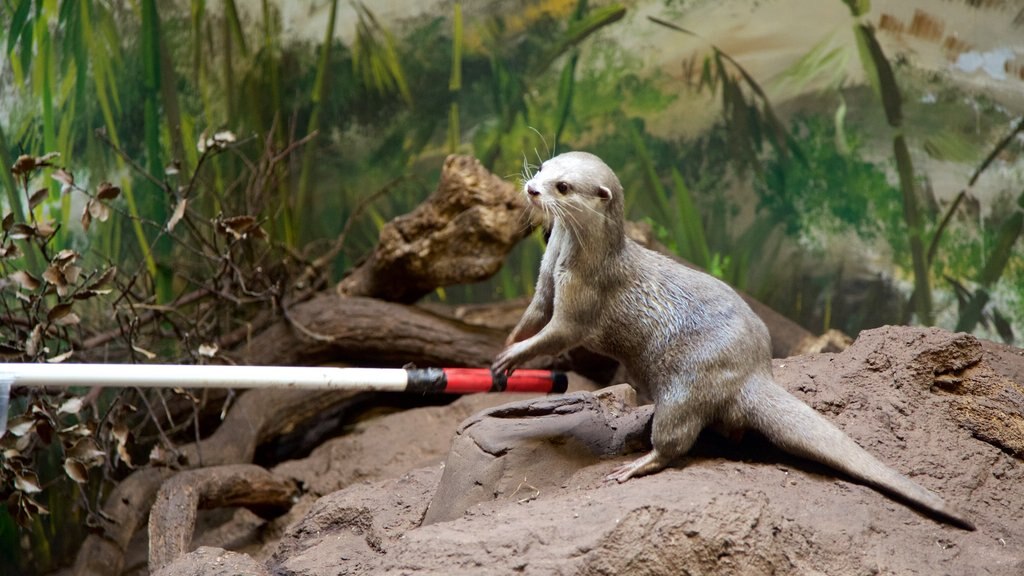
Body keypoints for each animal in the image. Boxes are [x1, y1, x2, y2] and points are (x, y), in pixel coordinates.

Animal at [495, 150, 974, 528]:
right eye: (544, 166)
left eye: (562, 186)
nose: (532, 189)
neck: (570, 256)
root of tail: (753, 373)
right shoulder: (546, 279)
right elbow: (534, 314)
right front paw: (506, 344)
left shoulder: (585, 296)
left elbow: (561, 331)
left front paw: (511, 359)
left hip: (688, 382)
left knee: (677, 440)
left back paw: (636, 462)